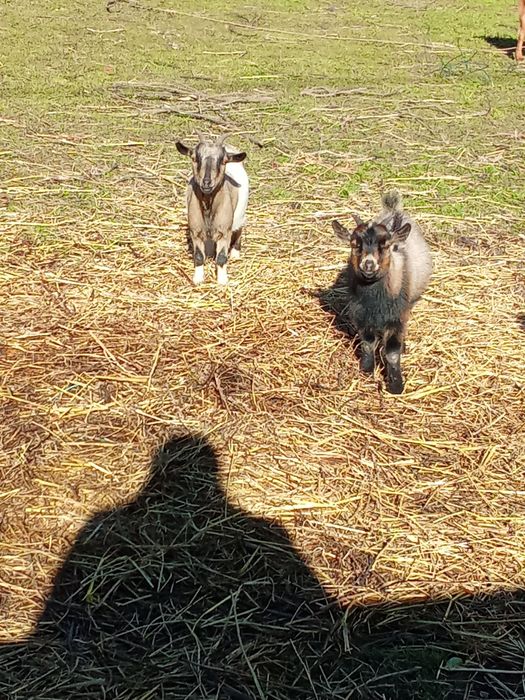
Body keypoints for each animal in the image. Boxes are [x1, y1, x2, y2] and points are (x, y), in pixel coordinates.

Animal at [176, 133, 248, 285]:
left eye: (223, 161)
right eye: (194, 158)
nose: (207, 182)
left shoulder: (225, 231)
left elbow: (221, 257)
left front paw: (222, 281)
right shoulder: (195, 230)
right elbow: (198, 256)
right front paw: (197, 279)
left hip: (240, 215)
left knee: (240, 229)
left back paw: (235, 253)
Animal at [331, 191, 432, 394]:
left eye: (385, 245)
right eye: (354, 244)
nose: (368, 264)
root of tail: (393, 211)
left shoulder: (397, 317)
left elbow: (391, 352)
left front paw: (396, 385)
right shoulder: (361, 315)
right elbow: (367, 343)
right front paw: (367, 370)